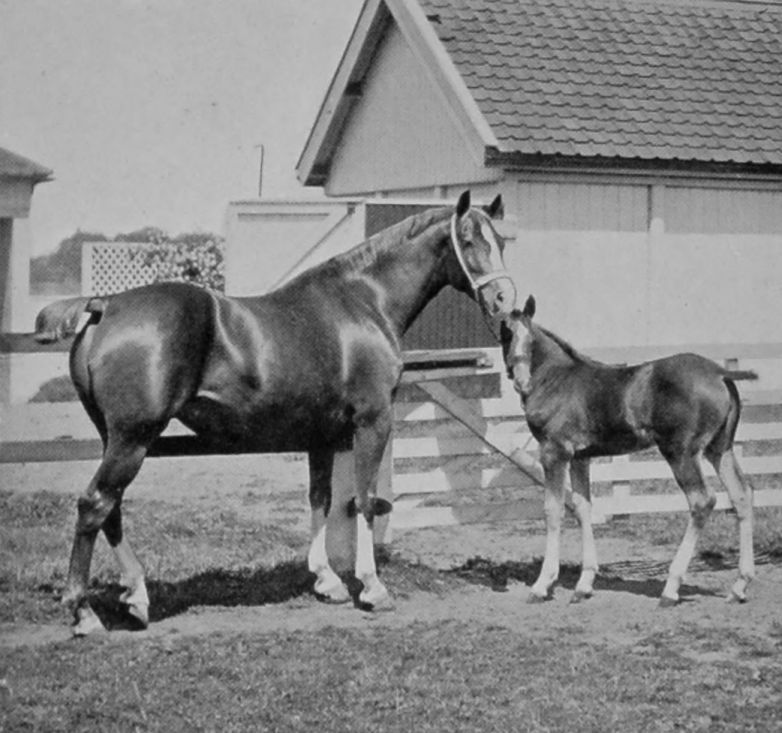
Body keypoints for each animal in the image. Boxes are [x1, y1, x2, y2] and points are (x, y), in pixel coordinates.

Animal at [52, 190, 516, 635]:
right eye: (468, 240)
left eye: (501, 241)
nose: (503, 301)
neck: (365, 302)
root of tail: (106, 307)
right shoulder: (373, 421)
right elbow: (366, 501)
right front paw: (372, 587)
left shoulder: (322, 435)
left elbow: (320, 499)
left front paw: (327, 581)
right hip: (134, 438)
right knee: (95, 504)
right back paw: (84, 613)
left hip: (117, 438)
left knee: (110, 507)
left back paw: (135, 597)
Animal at [500, 295, 757, 607]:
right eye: (505, 333)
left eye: (530, 338)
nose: (521, 381)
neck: (556, 378)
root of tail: (720, 373)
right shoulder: (580, 458)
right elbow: (582, 507)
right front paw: (583, 585)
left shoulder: (554, 452)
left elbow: (553, 510)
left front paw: (542, 585)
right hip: (719, 449)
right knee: (741, 495)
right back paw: (739, 586)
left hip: (681, 453)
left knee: (702, 501)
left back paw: (671, 588)